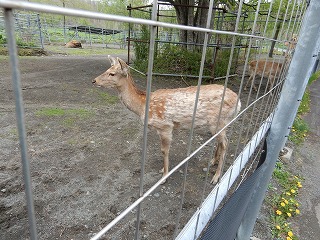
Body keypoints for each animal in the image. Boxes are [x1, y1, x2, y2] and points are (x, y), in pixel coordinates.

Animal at [94, 55, 241, 184]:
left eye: (112, 73)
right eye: (106, 70)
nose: (94, 81)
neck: (142, 106)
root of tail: (238, 102)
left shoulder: (165, 126)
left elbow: (164, 151)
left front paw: (164, 176)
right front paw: (163, 171)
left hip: (219, 120)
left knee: (225, 143)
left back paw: (216, 177)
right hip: (219, 123)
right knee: (220, 141)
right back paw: (213, 161)